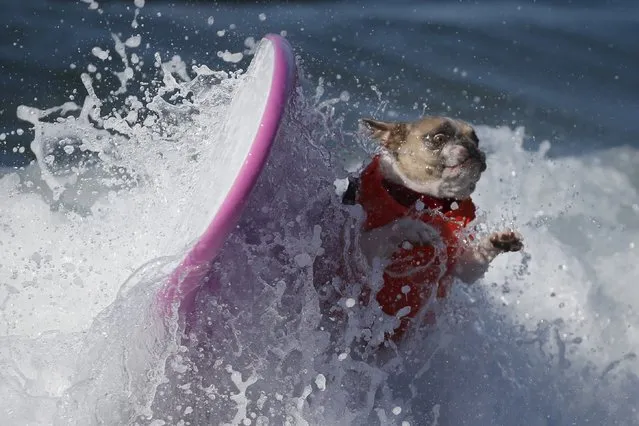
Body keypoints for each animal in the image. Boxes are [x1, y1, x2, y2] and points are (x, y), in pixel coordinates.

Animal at [342, 115, 524, 340]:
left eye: (476, 139)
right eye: (439, 138)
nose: (470, 146)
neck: (430, 202)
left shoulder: (463, 265)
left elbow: (474, 260)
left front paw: (499, 241)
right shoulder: (361, 255)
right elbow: (388, 230)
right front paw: (416, 227)